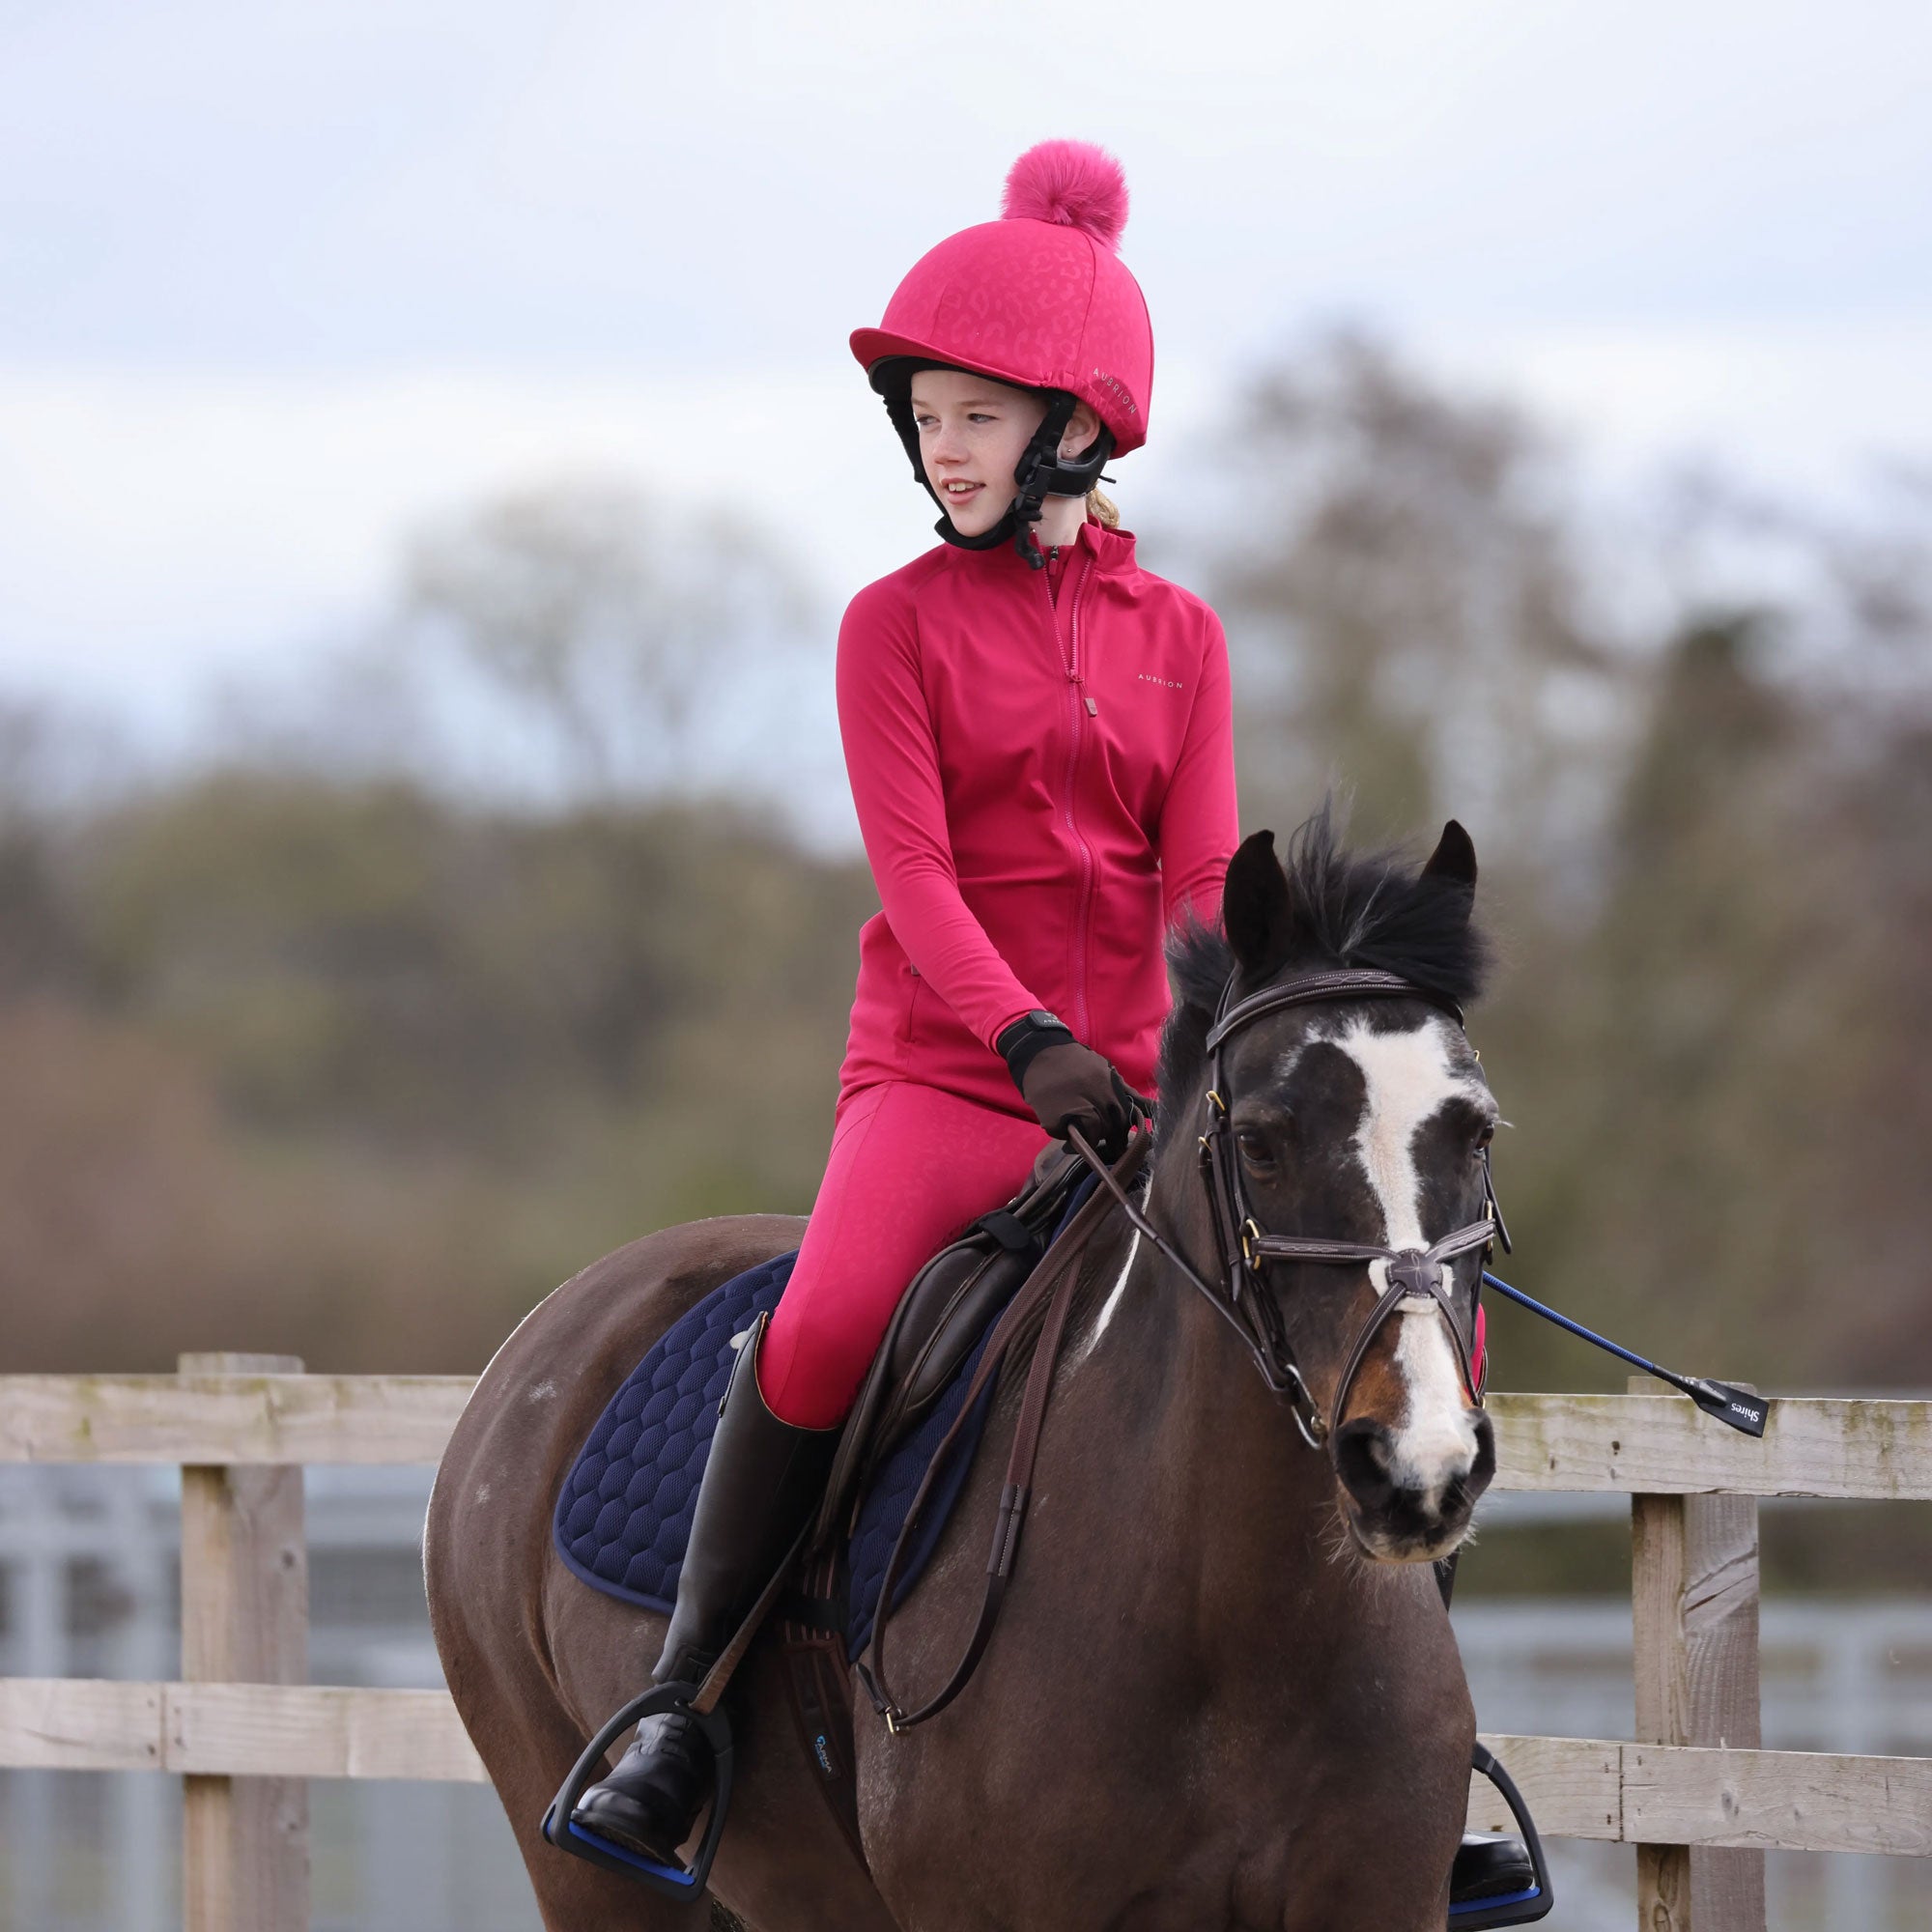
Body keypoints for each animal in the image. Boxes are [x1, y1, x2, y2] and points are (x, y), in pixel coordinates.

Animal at [431, 819, 1499, 1932]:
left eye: (1476, 1130)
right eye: (1259, 1141)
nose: (1413, 1466)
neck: (1240, 1622)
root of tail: (557, 1319)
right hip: (589, 1873)